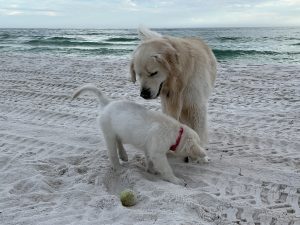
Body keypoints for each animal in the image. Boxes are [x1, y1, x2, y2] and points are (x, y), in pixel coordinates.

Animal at [72, 83, 209, 185]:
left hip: (119, 130)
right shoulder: (158, 153)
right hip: (108, 133)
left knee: (119, 140)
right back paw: (119, 167)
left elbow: (150, 160)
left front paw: (151, 170)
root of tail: (107, 103)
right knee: (112, 153)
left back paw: (123, 155)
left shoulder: (150, 148)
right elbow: (166, 168)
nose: (187, 160)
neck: (177, 133)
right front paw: (176, 180)